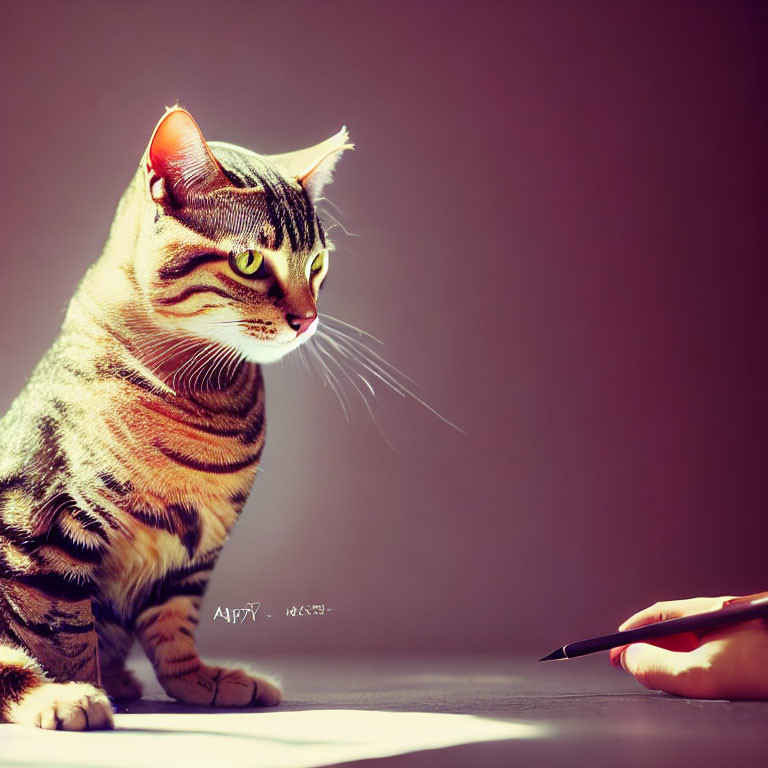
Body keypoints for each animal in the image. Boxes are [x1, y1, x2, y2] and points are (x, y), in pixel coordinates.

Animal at [0, 105, 352, 728]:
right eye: (249, 260)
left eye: (316, 263)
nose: (307, 319)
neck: (209, 398)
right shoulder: (42, 522)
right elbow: (61, 630)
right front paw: (78, 690)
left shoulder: (195, 550)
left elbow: (174, 625)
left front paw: (198, 680)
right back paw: (60, 695)